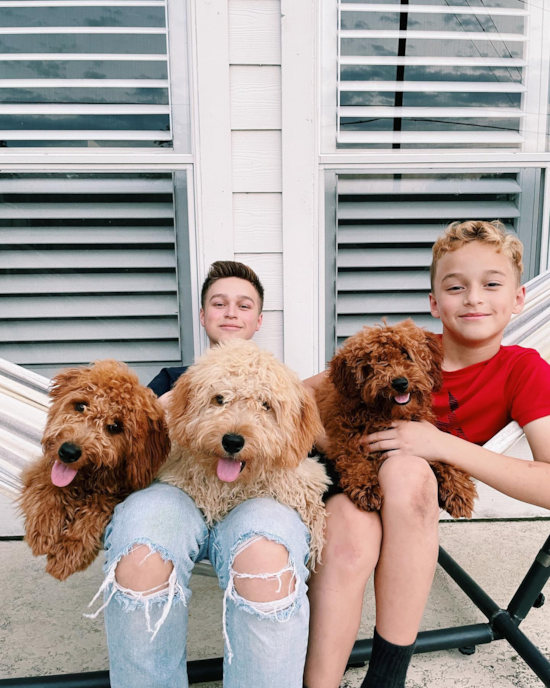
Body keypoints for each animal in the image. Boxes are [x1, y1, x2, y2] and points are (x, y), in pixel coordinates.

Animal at [19, 360, 170, 580]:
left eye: (115, 427)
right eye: (81, 406)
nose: (68, 452)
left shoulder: (121, 490)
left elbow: (98, 506)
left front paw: (69, 550)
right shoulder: (41, 468)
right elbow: (49, 485)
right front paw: (44, 528)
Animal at [316, 320, 480, 520]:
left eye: (406, 354)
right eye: (376, 361)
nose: (400, 382)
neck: (386, 414)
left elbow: (440, 454)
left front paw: (459, 489)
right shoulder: (343, 439)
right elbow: (354, 459)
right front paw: (367, 488)